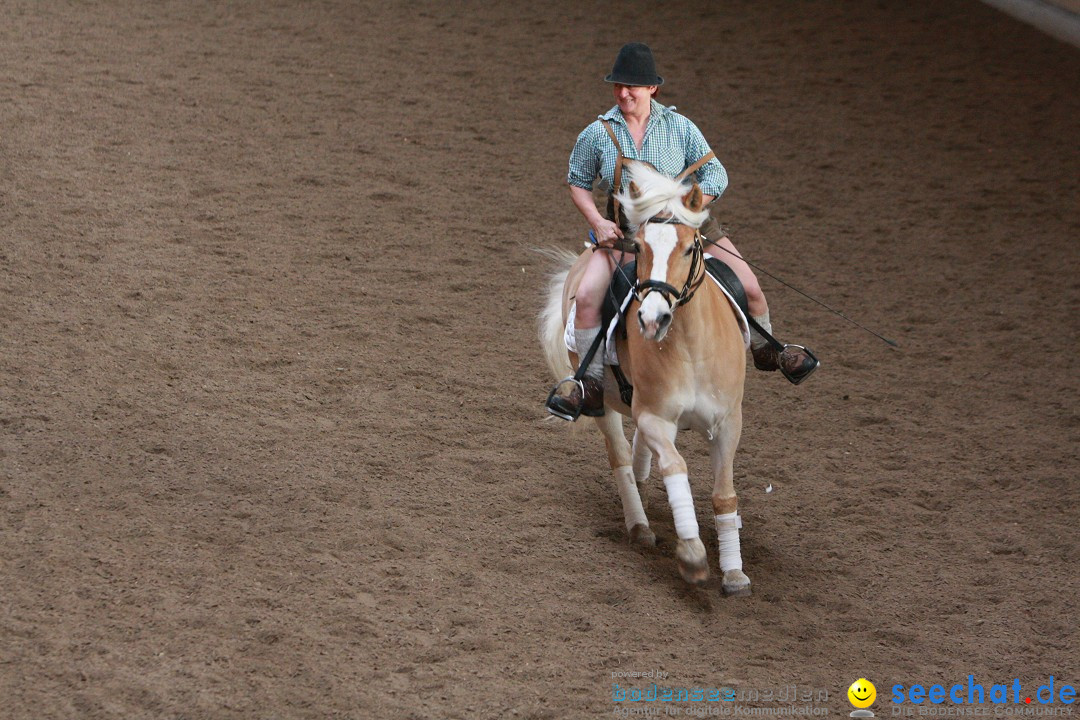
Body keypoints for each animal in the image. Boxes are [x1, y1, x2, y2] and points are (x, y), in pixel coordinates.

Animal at [537, 160, 751, 595]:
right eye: (640, 248)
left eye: (689, 248)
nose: (653, 319)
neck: (691, 348)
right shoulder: (654, 416)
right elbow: (676, 467)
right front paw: (692, 554)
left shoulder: (728, 422)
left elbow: (723, 495)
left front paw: (735, 573)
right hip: (602, 402)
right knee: (620, 457)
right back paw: (639, 524)